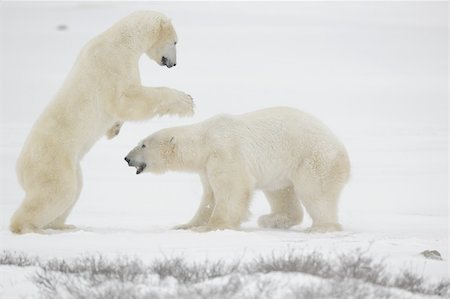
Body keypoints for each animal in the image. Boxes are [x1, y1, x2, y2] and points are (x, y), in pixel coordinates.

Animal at [10, 10, 193, 234]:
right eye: (175, 41)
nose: (173, 64)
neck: (121, 40)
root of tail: (19, 170)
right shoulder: (113, 65)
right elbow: (129, 99)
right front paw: (186, 101)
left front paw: (114, 129)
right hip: (51, 164)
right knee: (57, 193)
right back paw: (30, 228)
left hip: (71, 165)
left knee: (74, 190)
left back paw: (63, 226)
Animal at [125, 106, 350, 233]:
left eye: (143, 145)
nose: (127, 158)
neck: (203, 140)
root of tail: (342, 150)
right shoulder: (206, 166)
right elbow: (209, 197)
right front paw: (185, 225)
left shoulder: (224, 152)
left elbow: (231, 189)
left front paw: (212, 226)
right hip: (281, 168)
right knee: (280, 191)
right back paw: (272, 219)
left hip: (312, 157)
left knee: (316, 193)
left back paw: (321, 227)